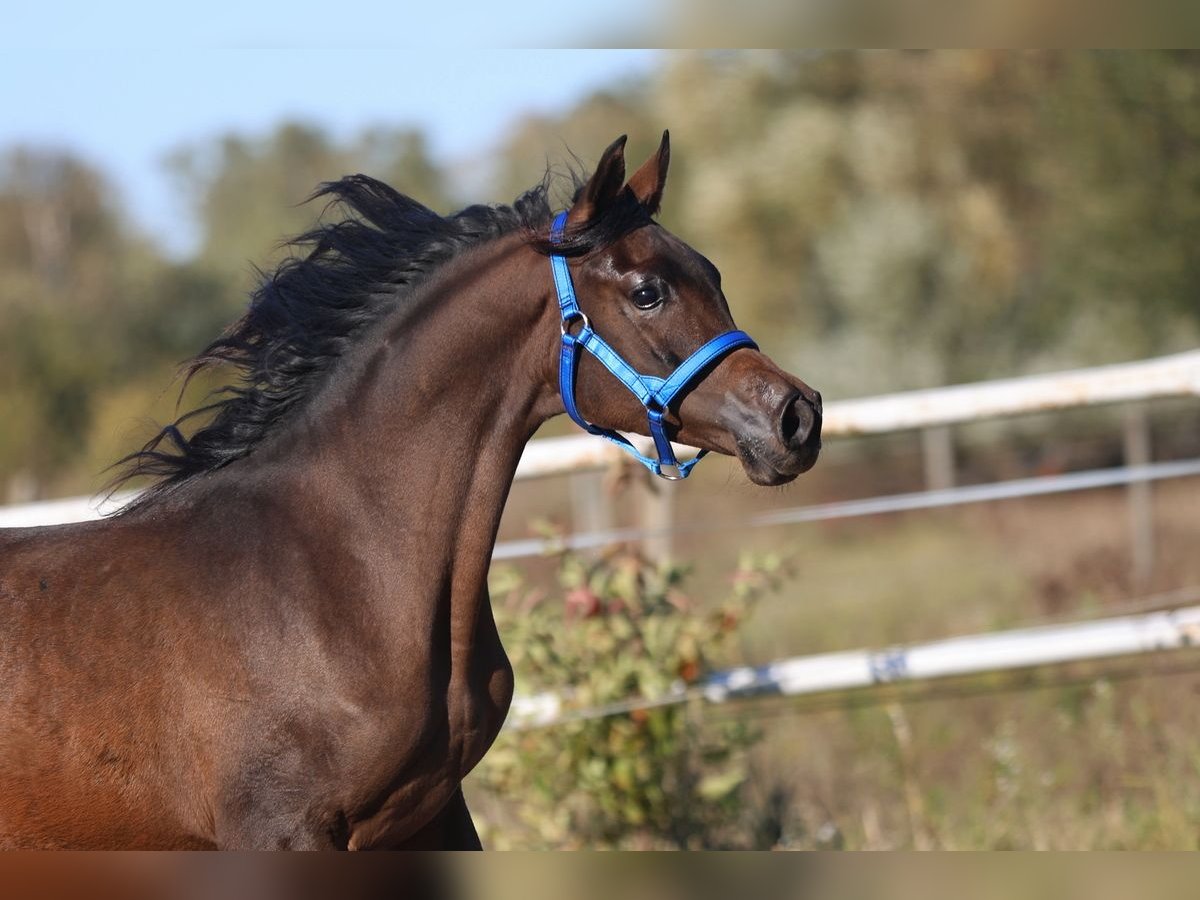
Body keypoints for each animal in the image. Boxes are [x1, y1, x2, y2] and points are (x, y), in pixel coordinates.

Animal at [0, 130, 820, 849]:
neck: (335, 579)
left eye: (712, 274)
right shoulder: (278, 831)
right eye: (648, 292)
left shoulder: (432, 814)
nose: (797, 417)